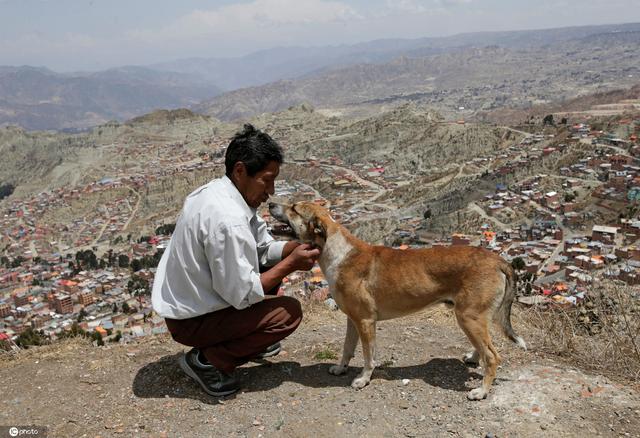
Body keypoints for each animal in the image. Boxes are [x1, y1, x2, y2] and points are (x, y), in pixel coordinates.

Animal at [270, 202, 524, 400]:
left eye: (294, 208)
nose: (270, 203)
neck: (336, 251)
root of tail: (498, 260)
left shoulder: (365, 321)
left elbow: (368, 356)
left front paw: (363, 379)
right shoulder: (352, 319)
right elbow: (347, 348)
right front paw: (341, 368)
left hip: (468, 317)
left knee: (492, 356)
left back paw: (481, 391)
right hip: (473, 318)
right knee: (485, 346)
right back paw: (473, 357)